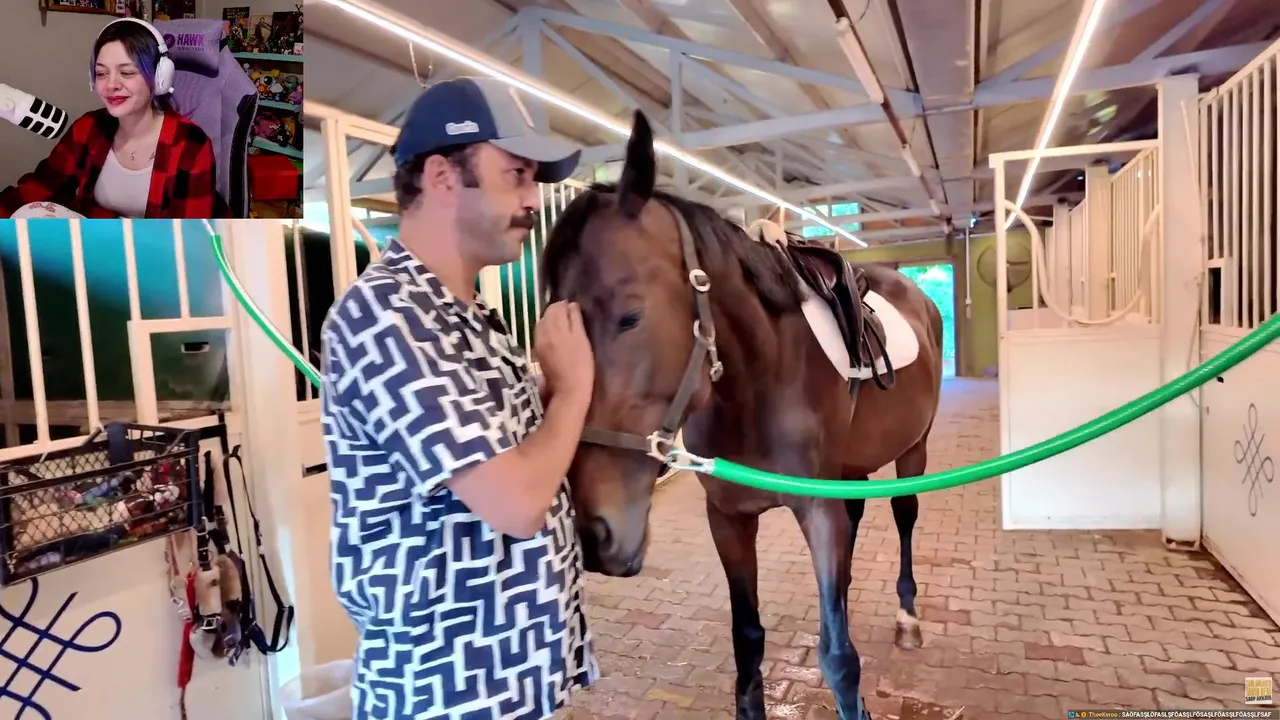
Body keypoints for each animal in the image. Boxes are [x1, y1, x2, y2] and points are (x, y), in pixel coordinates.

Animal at [542, 110, 944, 720]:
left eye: (631, 316)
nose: (596, 535)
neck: (760, 381)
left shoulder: (817, 511)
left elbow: (839, 660)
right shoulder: (728, 519)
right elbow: (748, 638)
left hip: (913, 450)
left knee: (904, 516)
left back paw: (908, 618)